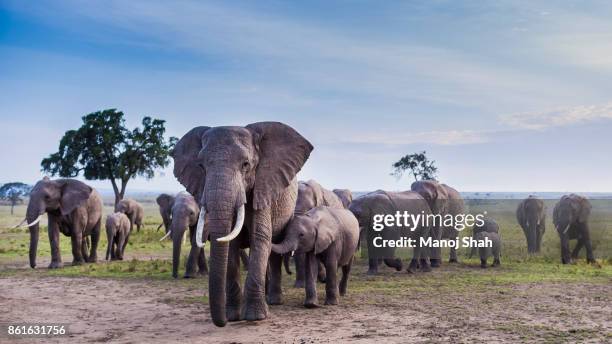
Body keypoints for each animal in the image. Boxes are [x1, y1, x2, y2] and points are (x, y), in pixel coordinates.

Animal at [172, 122, 314, 326]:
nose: (222, 322)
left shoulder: (263, 188)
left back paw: (273, 301)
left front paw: (255, 317)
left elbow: (260, 238)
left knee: (274, 250)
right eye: (201, 166)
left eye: (245, 164)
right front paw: (232, 316)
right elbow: (230, 244)